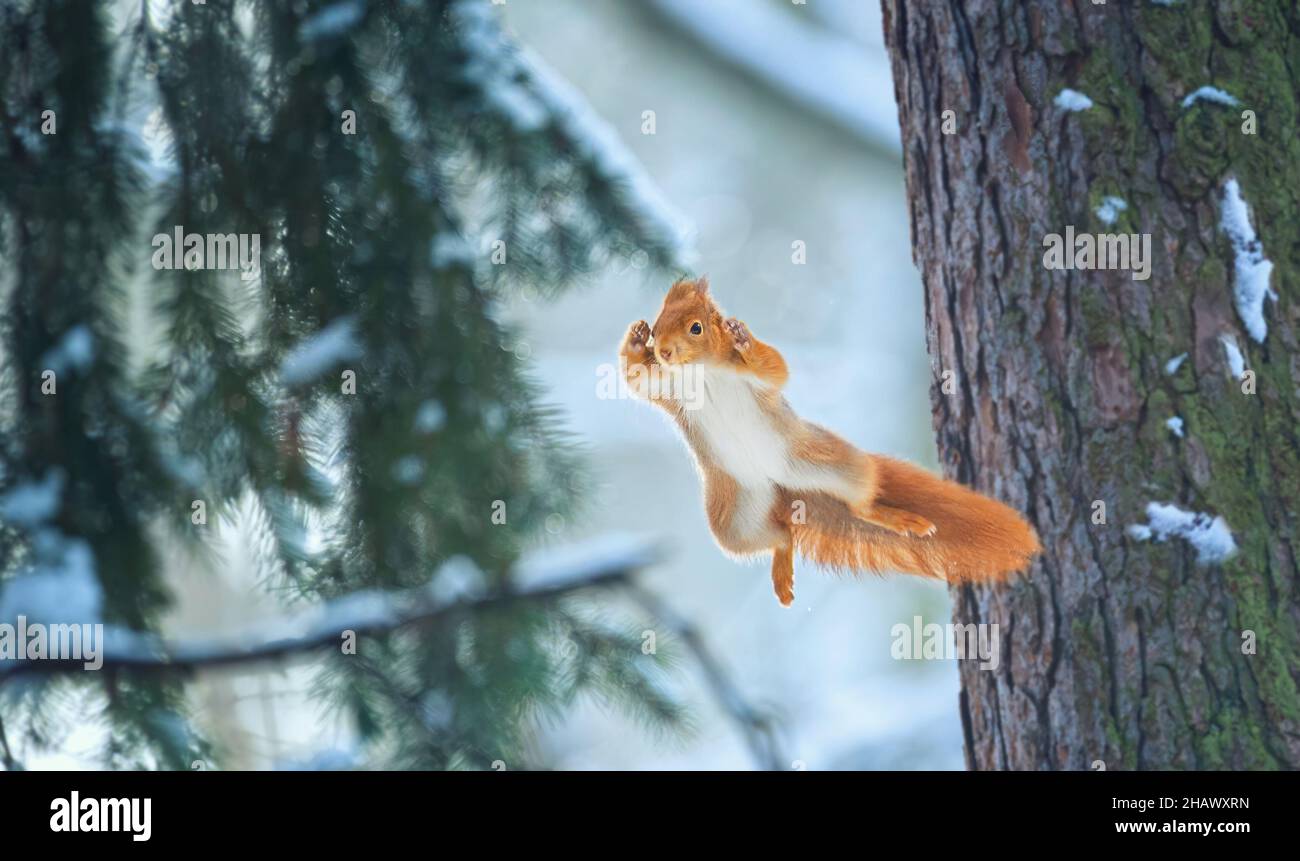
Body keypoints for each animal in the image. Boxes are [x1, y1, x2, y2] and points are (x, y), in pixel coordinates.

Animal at [618, 276, 1041, 606]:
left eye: (696, 328)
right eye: (659, 323)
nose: (662, 349)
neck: (701, 371)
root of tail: (784, 492)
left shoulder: (751, 378)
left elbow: (775, 367)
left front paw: (744, 338)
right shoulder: (669, 389)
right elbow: (638, 379)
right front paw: (635, 342)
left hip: (830, 463)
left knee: (860, 504)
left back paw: (897, 518)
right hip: (734, 516)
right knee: (781, 537)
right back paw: (782, 571)